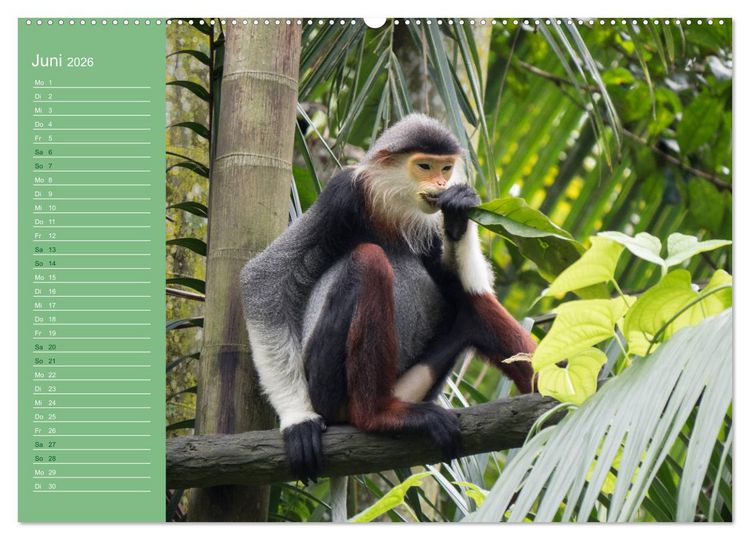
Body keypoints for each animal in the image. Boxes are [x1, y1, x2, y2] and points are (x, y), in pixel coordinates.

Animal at [240, 113, 536, 484]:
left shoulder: (429, 225)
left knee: (472, 305)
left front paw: (459, 212)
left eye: (446, 168)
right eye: (425, 166)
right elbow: (262, 279)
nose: (442, 182)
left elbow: (464, 283)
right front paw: (298, 420)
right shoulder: (342, 194)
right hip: (326, 385)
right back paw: (377, 415)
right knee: (370, 260)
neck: (392, 209)